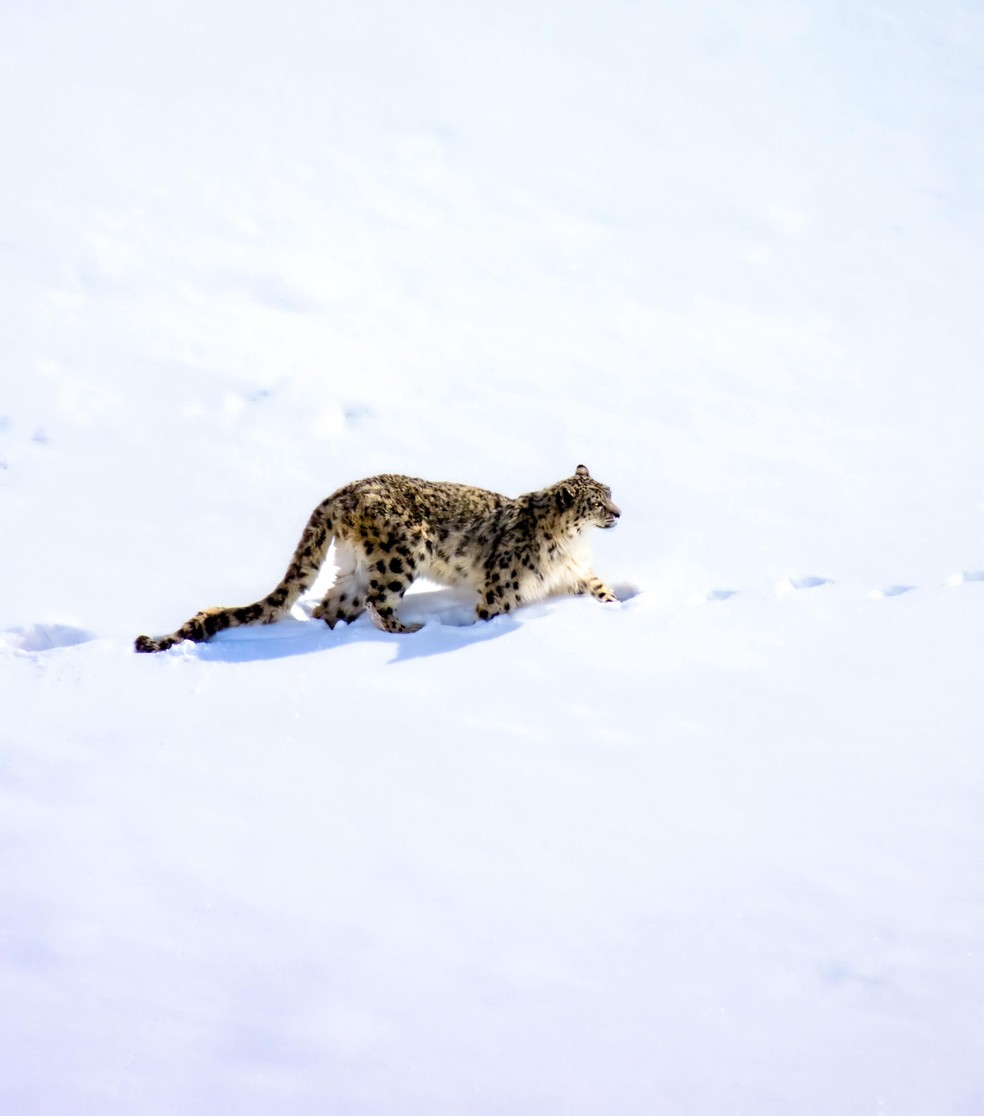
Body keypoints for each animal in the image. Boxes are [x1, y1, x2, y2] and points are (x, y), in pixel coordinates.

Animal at [134, 464, 621, 652]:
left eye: (610, 491)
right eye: (596, 502)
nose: (618, 513)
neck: (570, 546)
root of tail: (341, 493)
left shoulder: (578, 573)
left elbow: (599, 588)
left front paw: (618, 607)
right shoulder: (502, 590)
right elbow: (492, 614)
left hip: (356, 568)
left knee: (333, 605)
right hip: (401, 555)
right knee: (378, 604)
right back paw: (413, 631)